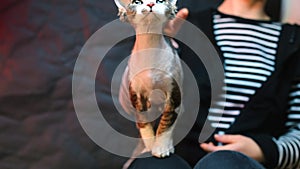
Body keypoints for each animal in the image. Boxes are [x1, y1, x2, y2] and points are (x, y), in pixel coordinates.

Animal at [113, 0, 182, 161]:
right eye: (137, 2)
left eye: (160, 1)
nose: (150, 3)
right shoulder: (136, 93)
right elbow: (143, 121)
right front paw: (150, 146)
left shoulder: (173, 92)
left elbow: (167, 121)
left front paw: (161, 148)